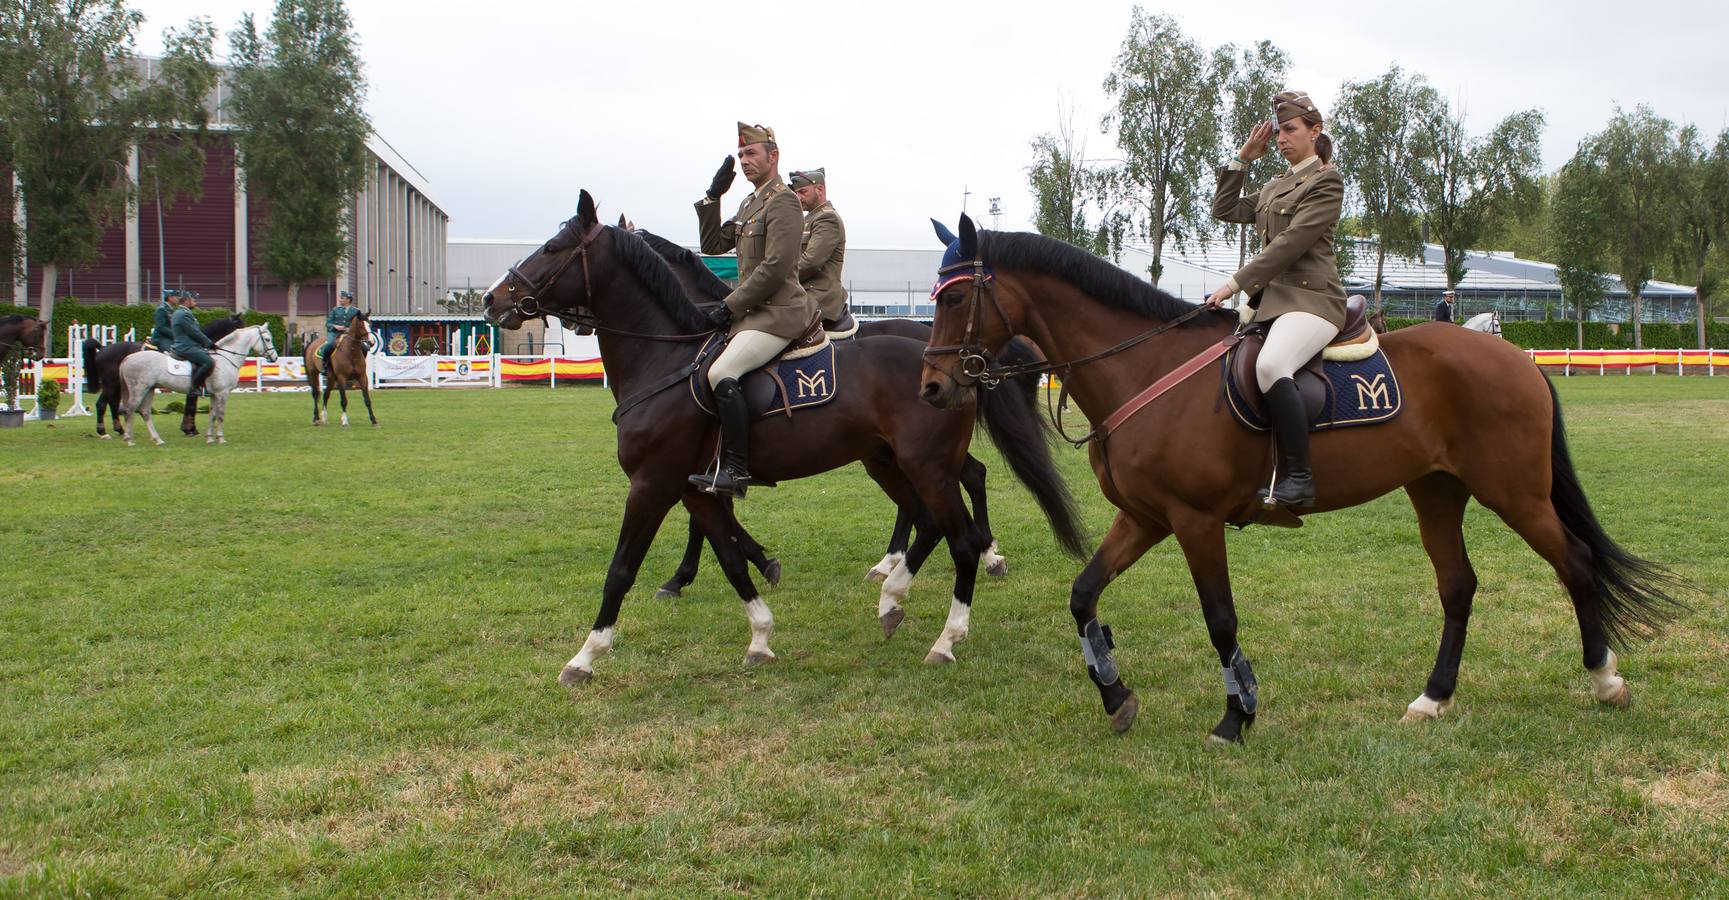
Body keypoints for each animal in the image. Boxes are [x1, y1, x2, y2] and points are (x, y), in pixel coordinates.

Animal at [82, 312, 247, 438]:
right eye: (240, 326)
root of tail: (103, 348)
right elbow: (191, 406)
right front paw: (190, 429)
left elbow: (190, 406)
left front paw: (188, 428)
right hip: (111, 384)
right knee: (101, 404)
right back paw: (103, 432)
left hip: (117, 384)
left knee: (113, 403)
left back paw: (120, 429)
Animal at [118, 324, 276, 445]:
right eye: (267, 339)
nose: (274, 358)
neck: (225, 358)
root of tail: (128, 358)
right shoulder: (222, 393)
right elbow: (220, 415)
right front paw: (221, 438)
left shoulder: (214, 395)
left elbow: (212, 414)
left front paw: (210, 438)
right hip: (139, 389)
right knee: (130, 410)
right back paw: (129, 440)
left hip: (149, 389)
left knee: (145, 412)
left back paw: (158, 440)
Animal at [484, 190, 1078, 680]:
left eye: (554, 247)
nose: (493, 300)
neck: (666, 358)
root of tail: (952, 360)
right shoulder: (695, 487)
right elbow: (726, 554)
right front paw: (759, 632)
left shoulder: (652, 484)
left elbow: (622, 569)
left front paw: (585, 655)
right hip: (889, 461)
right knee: (934, 517)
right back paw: (893, 595)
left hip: (925, 465)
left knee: (960, 535)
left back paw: (948, 628)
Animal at [926, 215, 1680, 735]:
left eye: (956, 299)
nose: (933, 388)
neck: (1143, 370)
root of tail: (1516, 358)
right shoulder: (1143, 518)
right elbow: (1083, 596)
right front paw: (1115, 694)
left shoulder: (1195, 522)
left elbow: (1220, 619)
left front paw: (1237, 715)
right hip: (1436, 490)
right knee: (1458, 587)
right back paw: (1431, 699)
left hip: (1513, 492)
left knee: (1574, 562)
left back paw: (1605, 681)